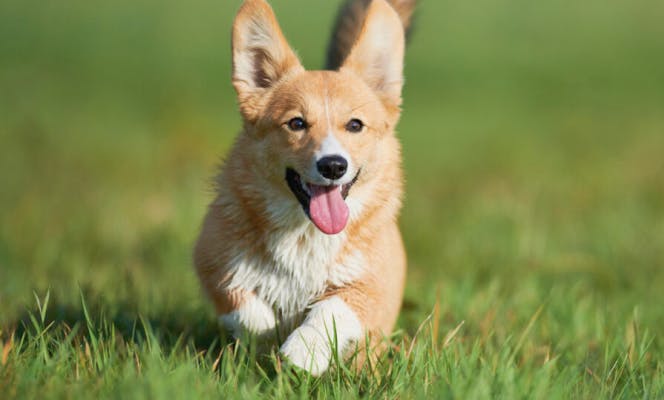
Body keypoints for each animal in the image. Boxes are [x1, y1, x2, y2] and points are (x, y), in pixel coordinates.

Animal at [192, 0, 418, 376]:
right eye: (296, 123)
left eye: (354, 125)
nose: (333, 166)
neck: (304, 234)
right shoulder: (215, 266)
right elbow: (250, 311)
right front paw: (269, 342)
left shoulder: (371, 288)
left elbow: (330, 310)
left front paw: (303, 351)